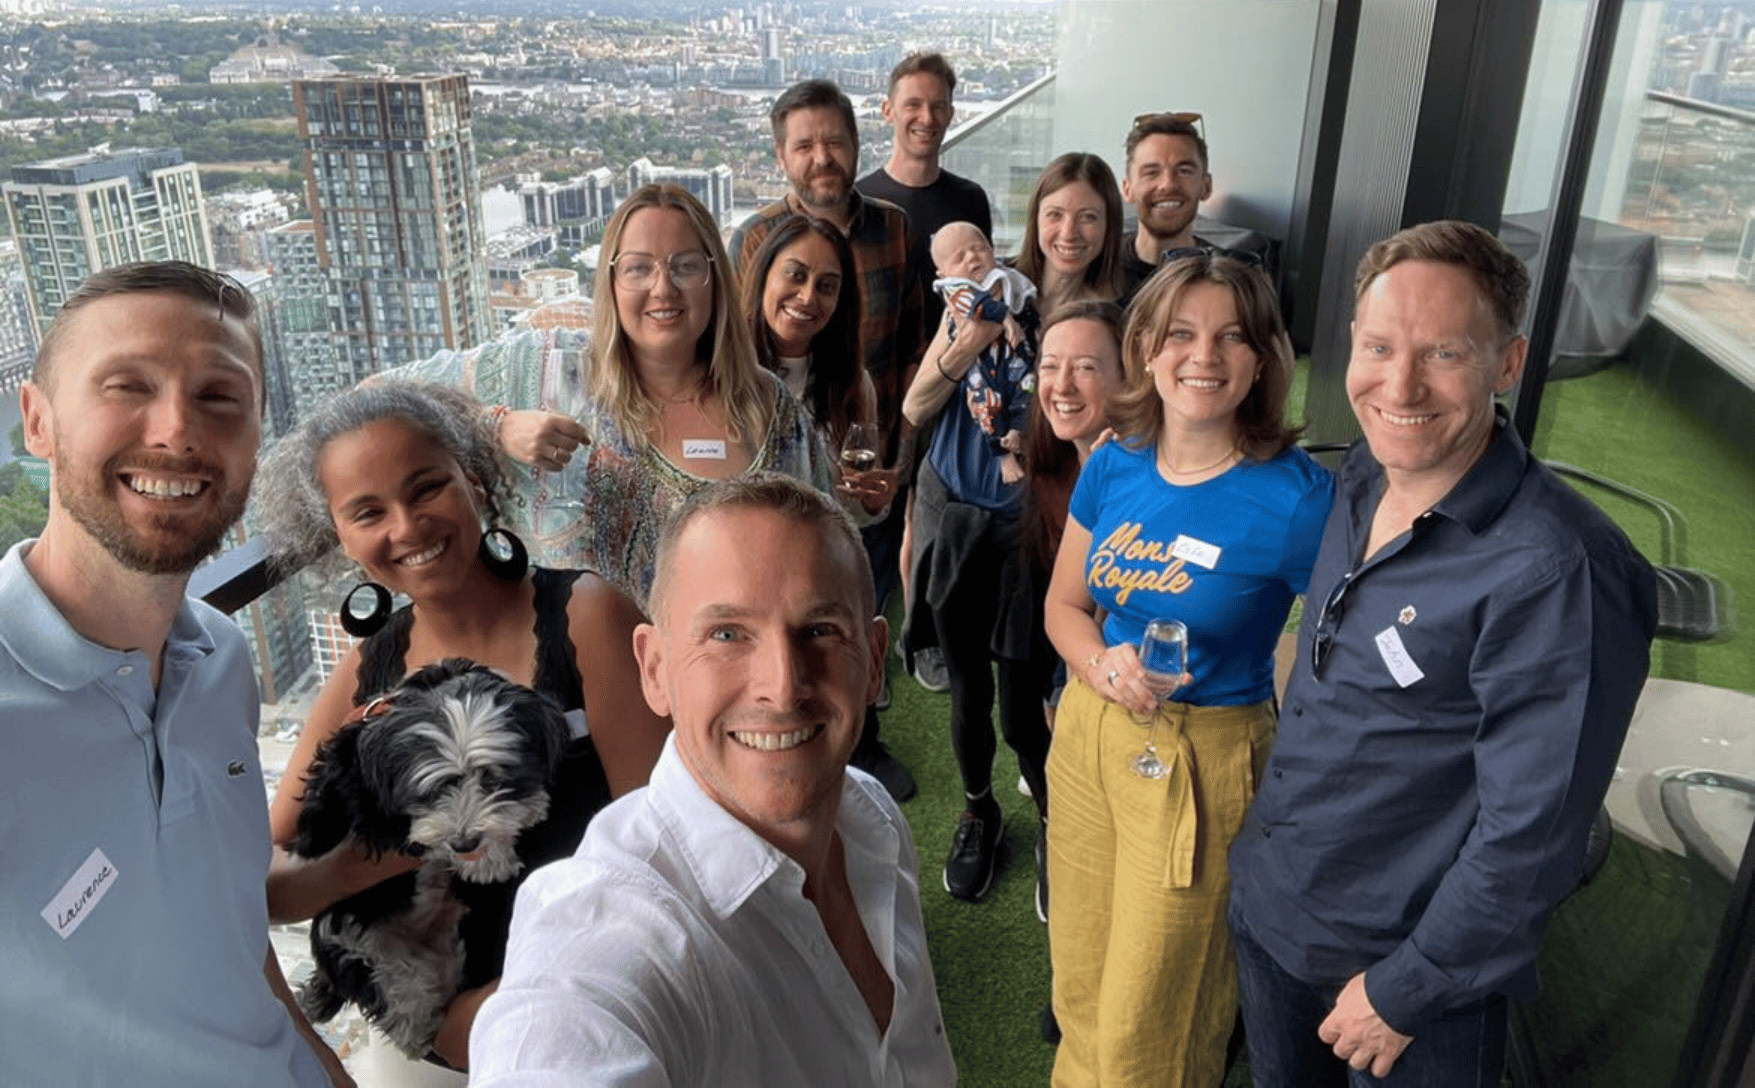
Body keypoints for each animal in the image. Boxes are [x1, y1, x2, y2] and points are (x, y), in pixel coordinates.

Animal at [291, 659, 568, 1059]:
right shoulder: (357, 781)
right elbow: (384, 822)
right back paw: (414, 1029)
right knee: (395, 991)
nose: (465, 841)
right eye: (432, 789)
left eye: (491, 778)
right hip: (352, 944)